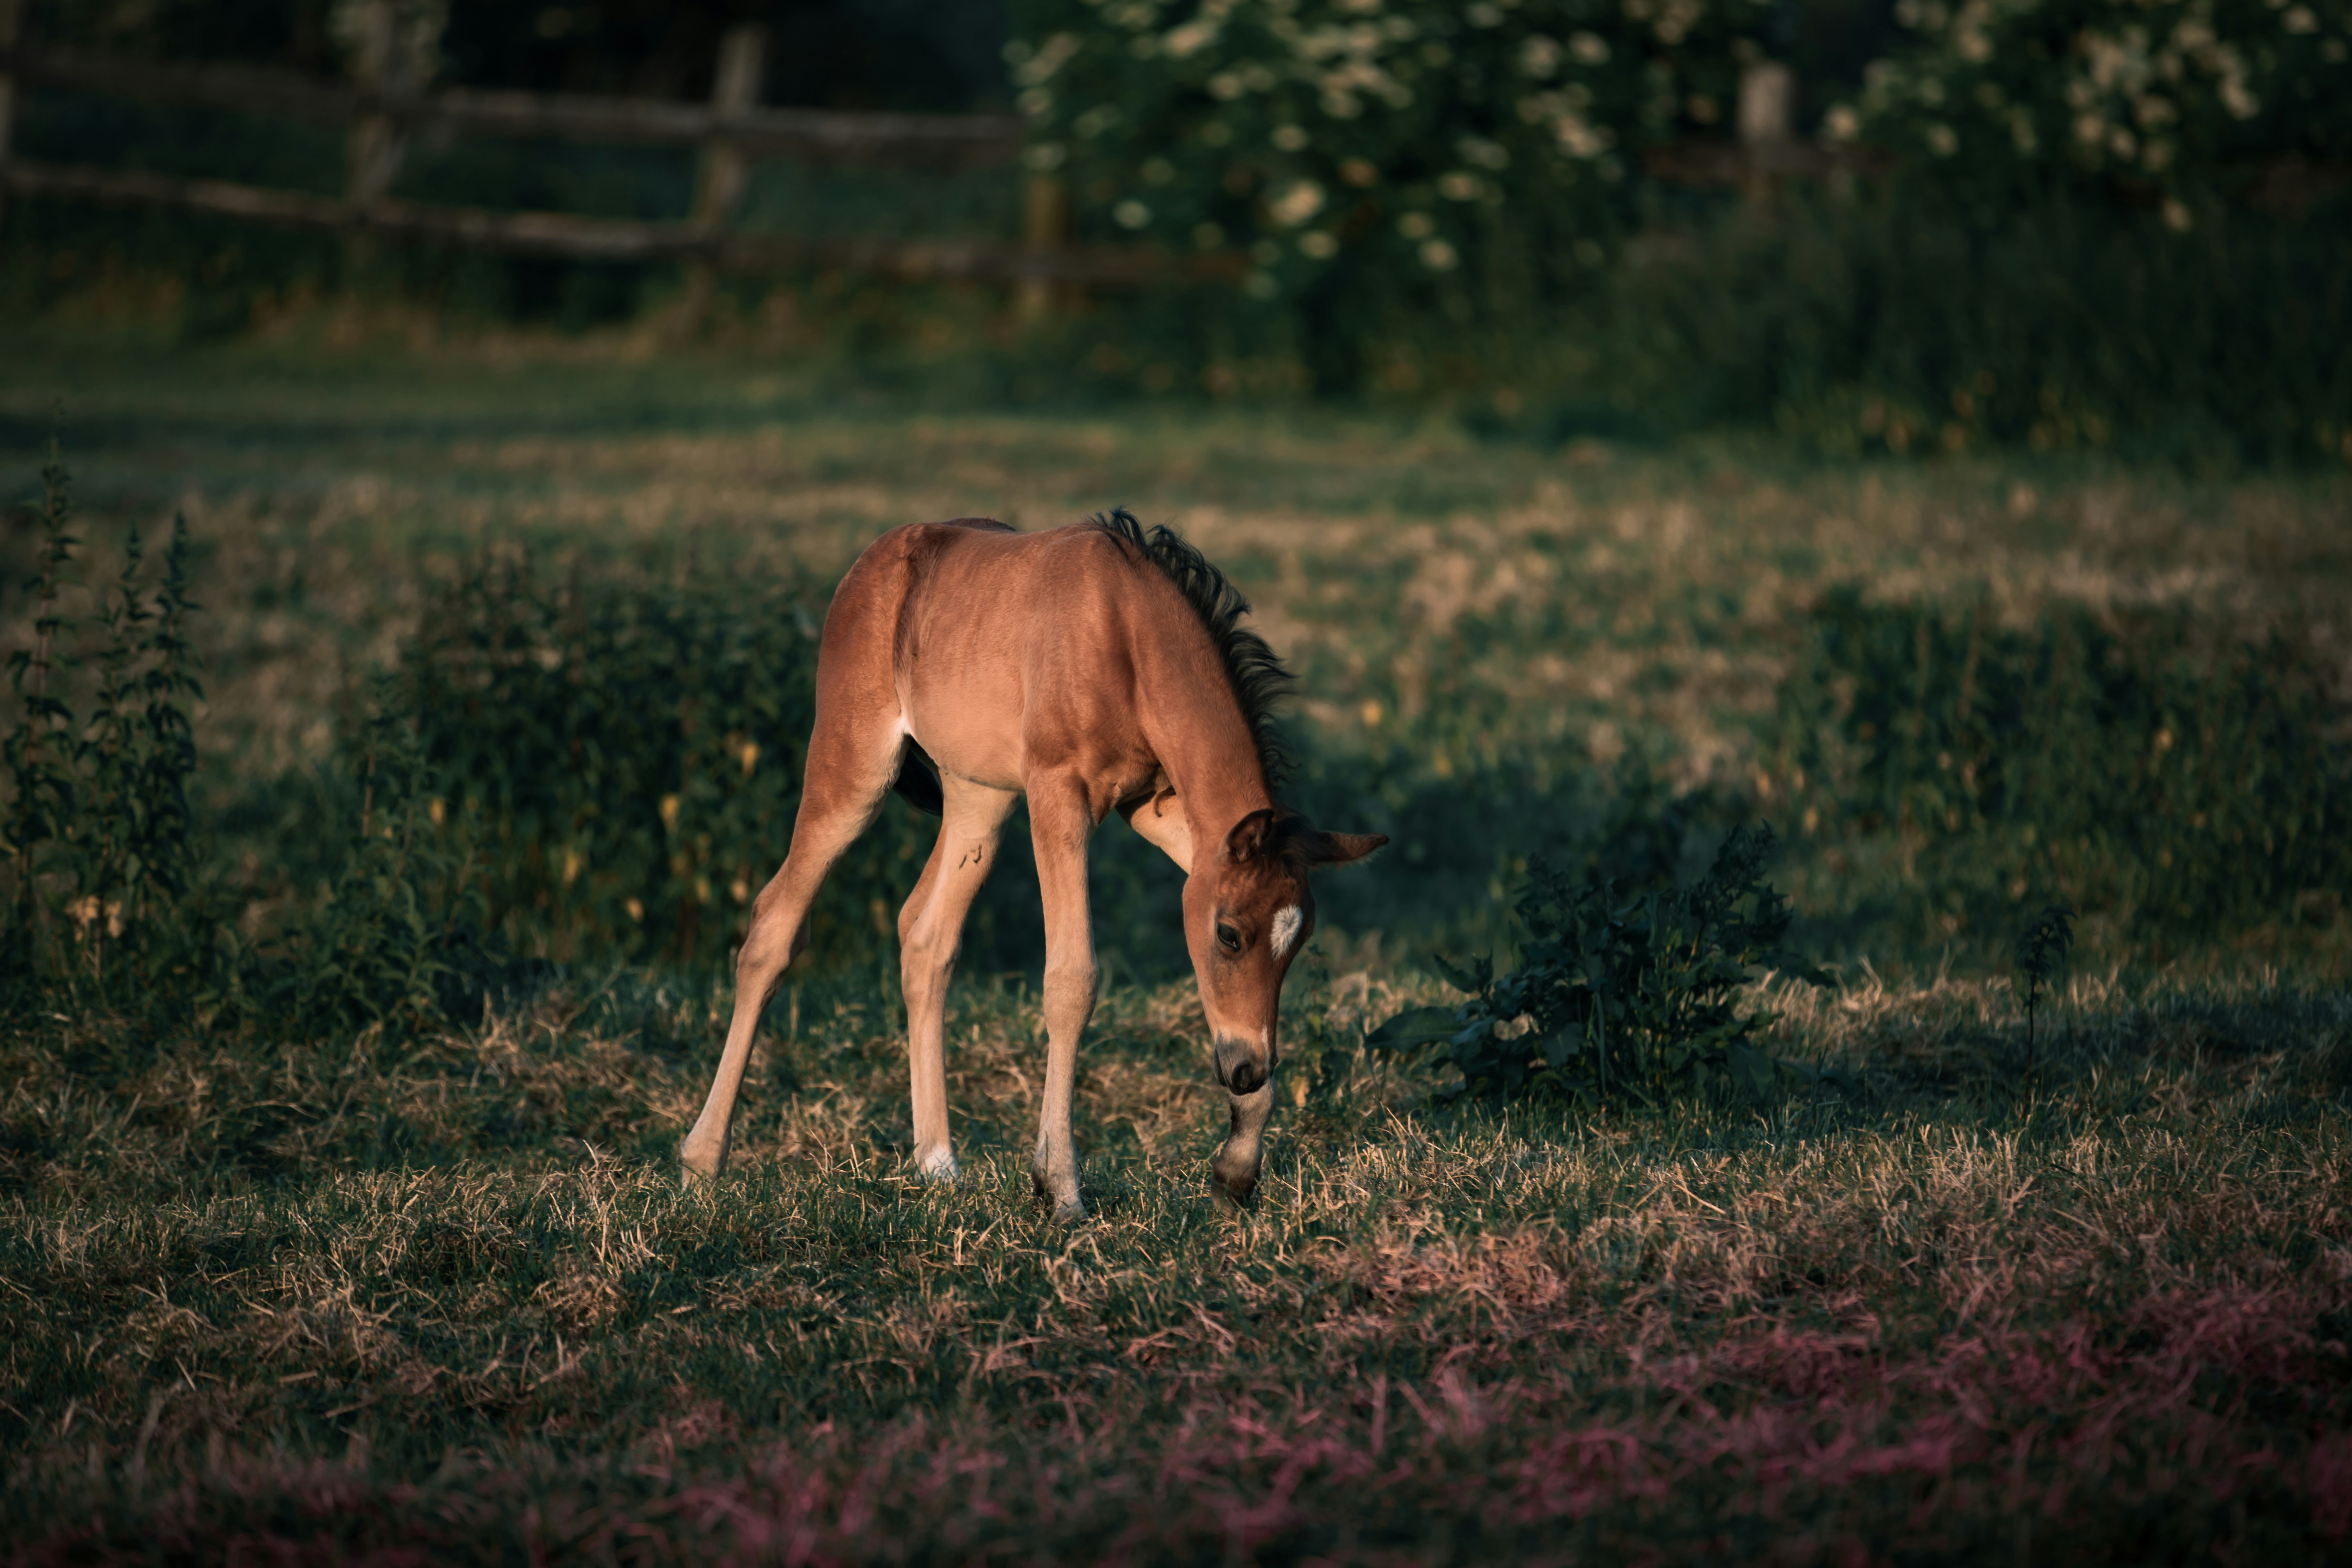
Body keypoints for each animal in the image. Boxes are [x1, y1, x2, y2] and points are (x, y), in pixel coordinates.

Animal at [678, 509, 1384, 1219]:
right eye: (1229, 935)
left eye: (1299, 942)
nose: (1245, 1071)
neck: (1127, 631)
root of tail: (873, 561)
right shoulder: (1058, 793)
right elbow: (1072, 980)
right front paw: (1062, 1189)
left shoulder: (1161, 812)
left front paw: (1236, 1169)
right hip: (854, 766)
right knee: (776, 925)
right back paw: (701, 1162)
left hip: (979, 796)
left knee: (927, 939)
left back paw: (938, 1165)